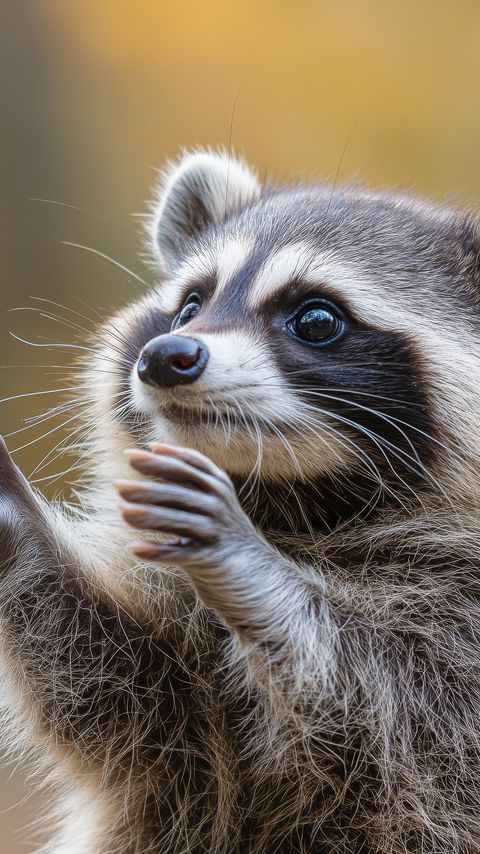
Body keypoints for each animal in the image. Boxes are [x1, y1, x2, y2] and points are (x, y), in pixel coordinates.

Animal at [1, 149, 480, 853]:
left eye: (317, 319)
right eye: (190, 304)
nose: (165, 357)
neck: (296, 507)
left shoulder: (456, 642)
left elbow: (388, 706)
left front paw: (247, 565)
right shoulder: (180, 754)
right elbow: (120, 692)